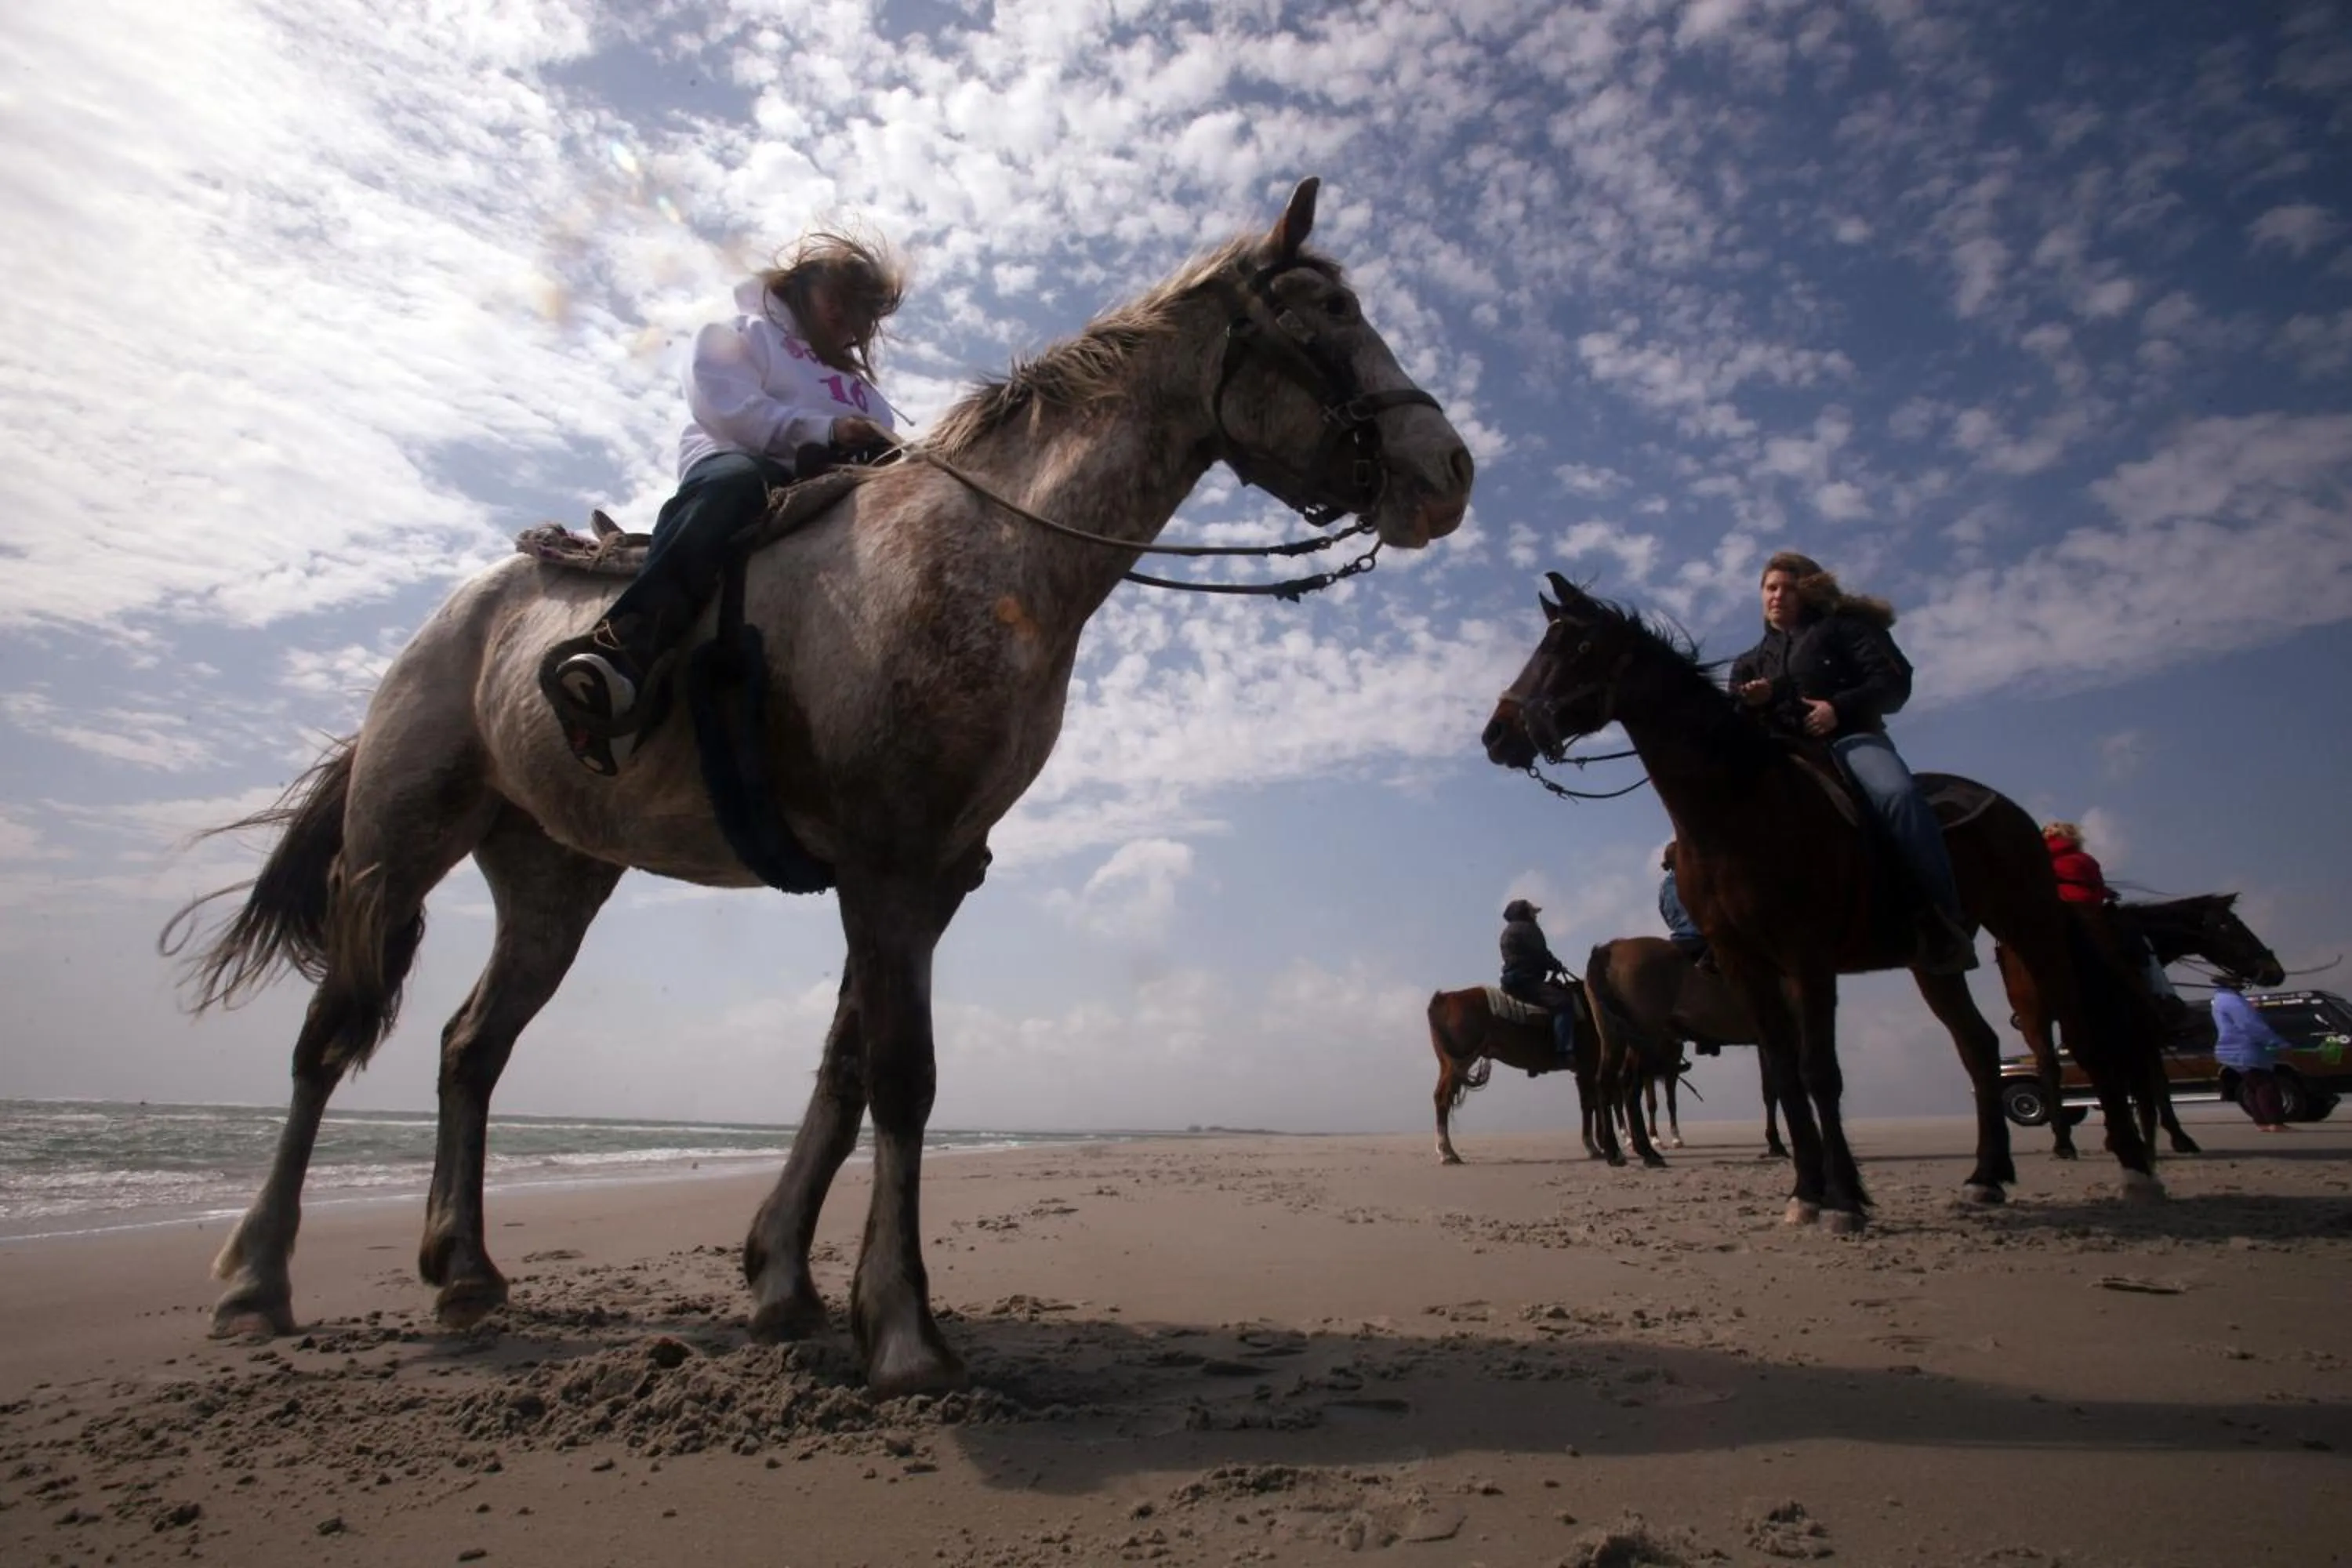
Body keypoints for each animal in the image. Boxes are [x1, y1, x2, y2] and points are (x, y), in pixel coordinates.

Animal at [162, 180, 1473, 1395]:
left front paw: (784, 1279)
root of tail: (450, 624)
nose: (1449, 471)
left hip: (554, 880)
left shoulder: (931, 876)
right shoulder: (885, 865)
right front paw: (901, 1330)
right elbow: (900, 1076)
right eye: (1325, 317)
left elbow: (846, 1073)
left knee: (469, 1049)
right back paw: (256, 1280)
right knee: (327, 1043)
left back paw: (466, 1271)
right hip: (398, 844)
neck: (979, 559)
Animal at [1425, 984, 1682, 1166]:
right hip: (1458, 1063)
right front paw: (1599, 1146)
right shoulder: (1590, 1068)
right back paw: (1447, 1152)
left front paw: (1595, 1146)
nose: (1674, 1064)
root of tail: (1444, 998)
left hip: (1451, 1065)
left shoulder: (1584, 1071)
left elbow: (1589, 1105)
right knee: (1442, 1099)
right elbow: (1595, 1103)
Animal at [1482, 575, 2160, 1231]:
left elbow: (1816, 1074)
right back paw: (1985, 1177)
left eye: (1576, 646)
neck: (1738, 808)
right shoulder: (1748, 967)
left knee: (2077, 1034)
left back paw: (2133, 1170)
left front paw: (1842, 1200)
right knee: (1979, 1047)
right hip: (1932, 964)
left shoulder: (1805, 958)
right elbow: (1787, 1076)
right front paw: (1810, 1190)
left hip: (2029, 924)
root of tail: (2014, 812)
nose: (1497, 733)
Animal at [1996, 893, 2286, 1156]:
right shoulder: (2143, 1027)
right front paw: (2178, 1138)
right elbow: (2158, 1080)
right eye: (2228, 925)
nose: (2275, 972)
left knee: (2056, 1066)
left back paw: (2067, 1142)